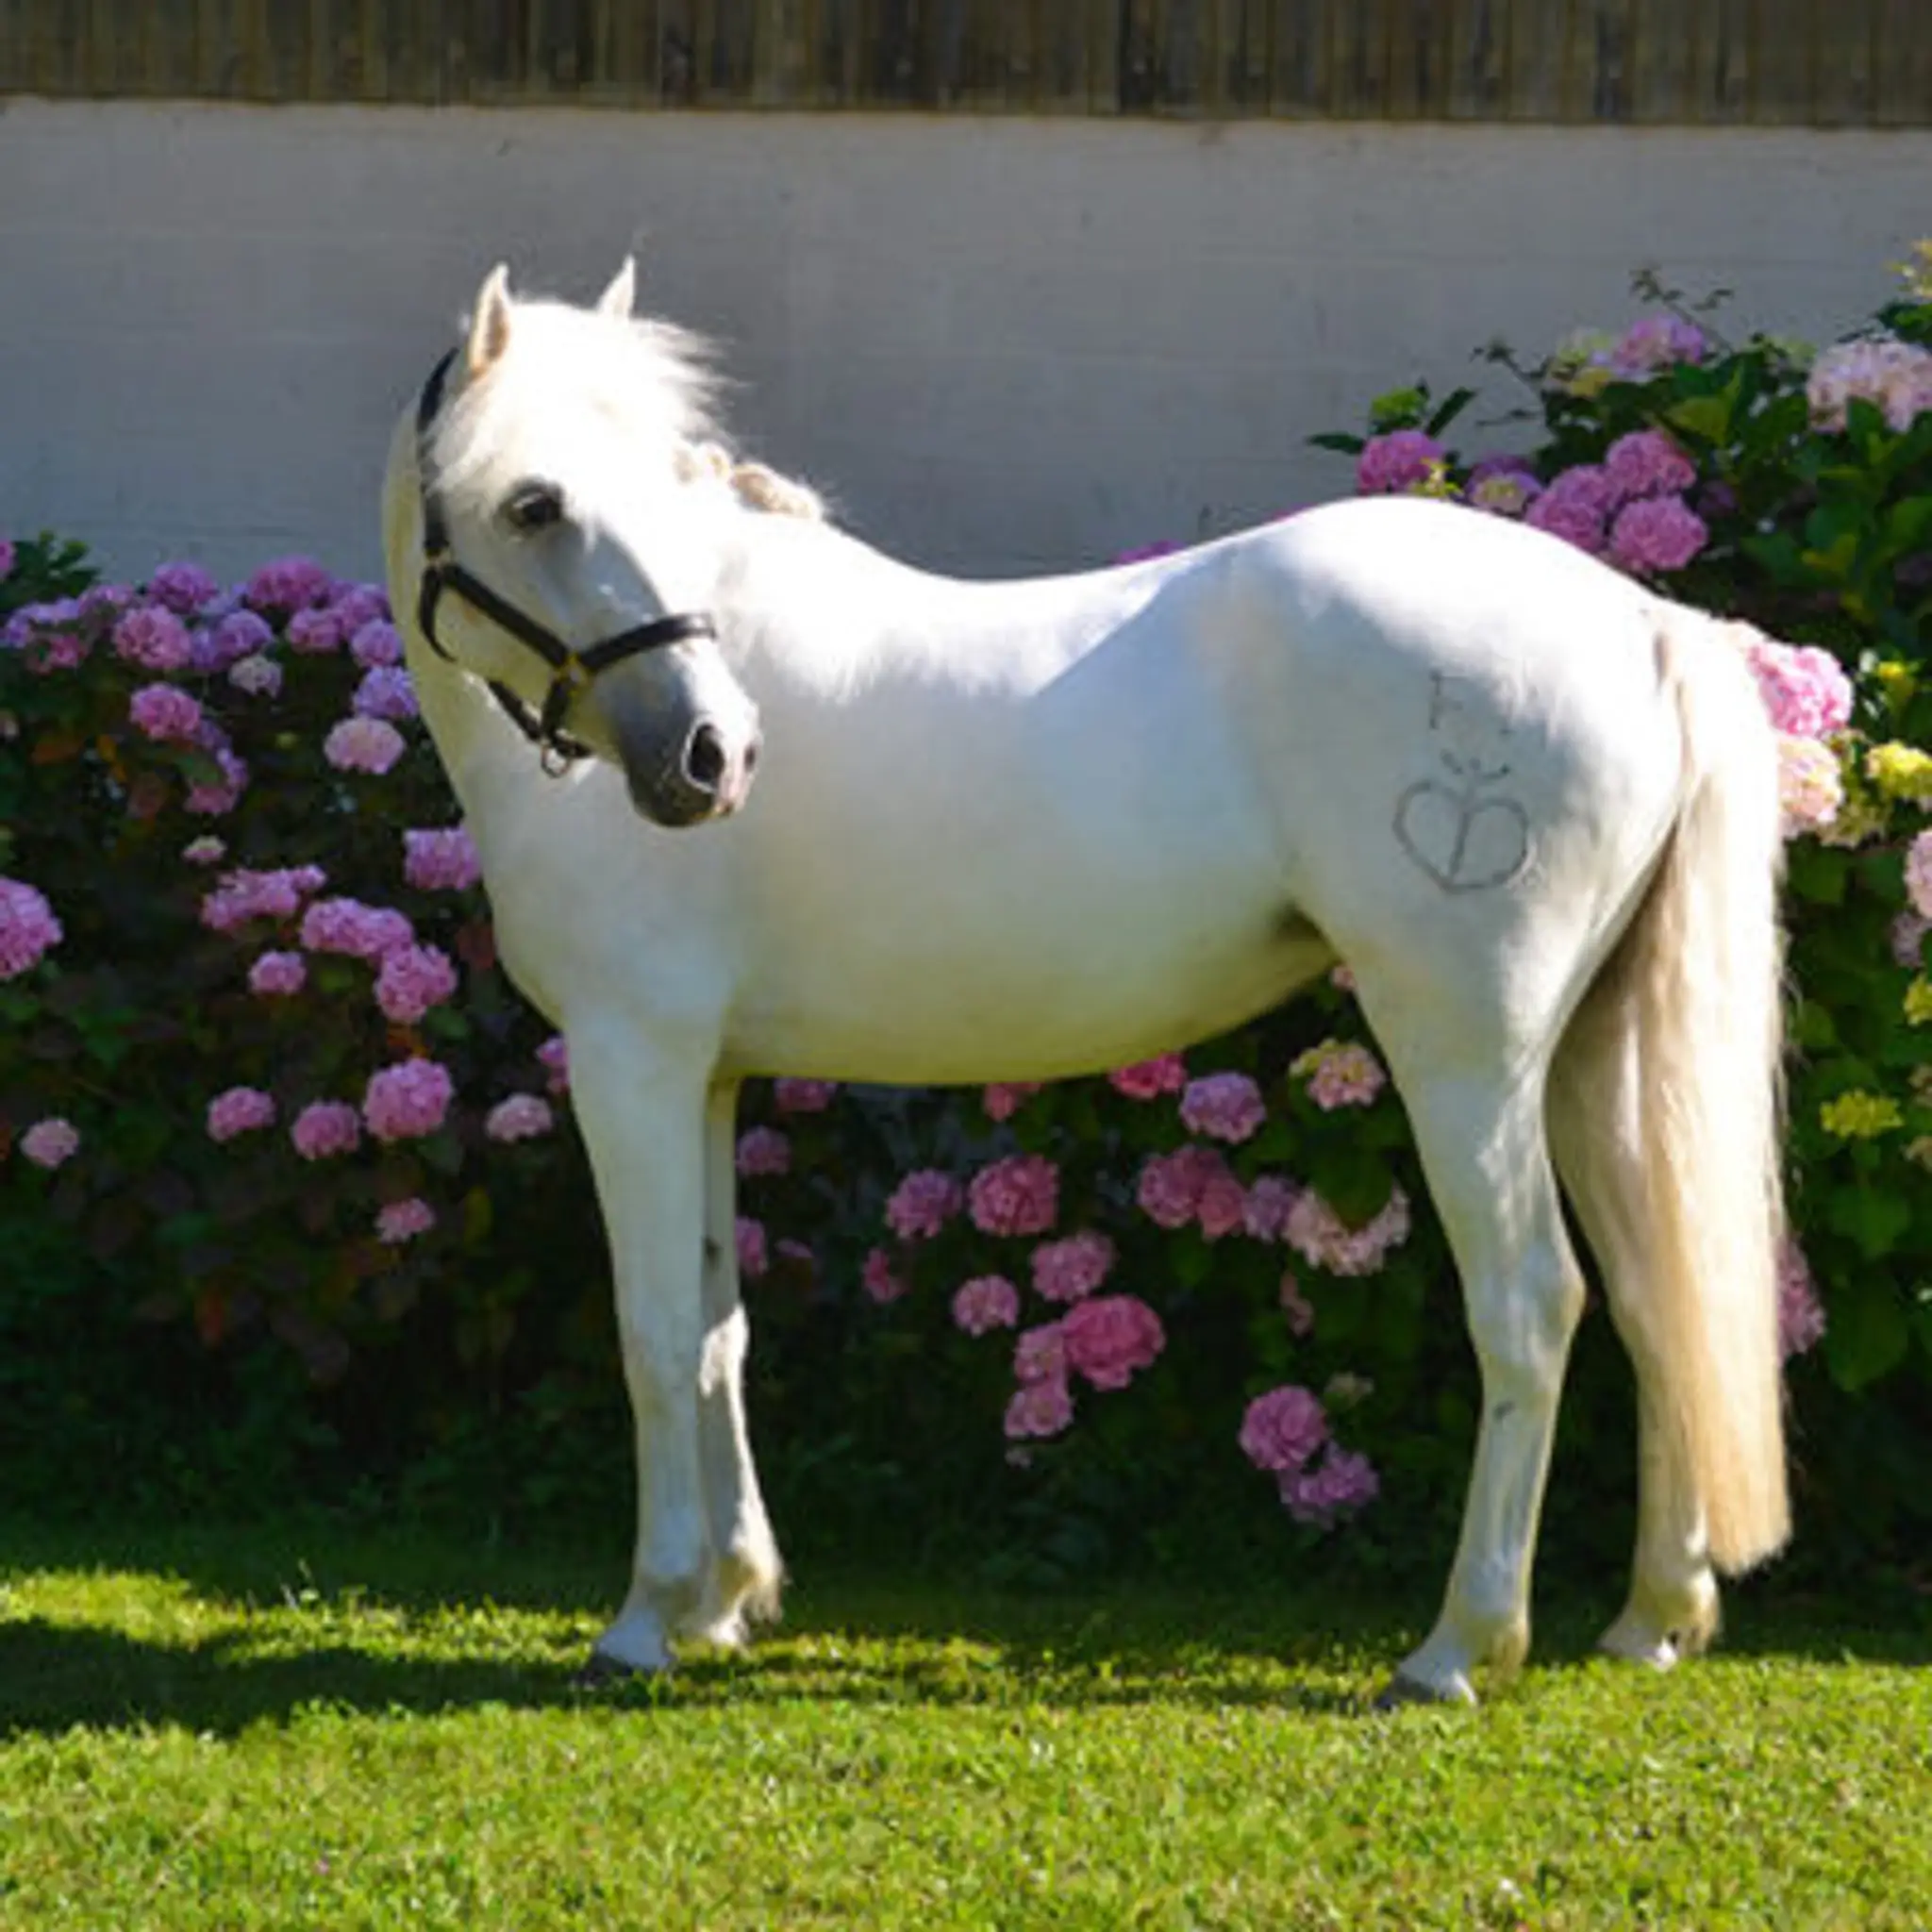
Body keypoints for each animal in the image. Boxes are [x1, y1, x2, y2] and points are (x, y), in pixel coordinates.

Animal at [380, 260, 1789, 1706]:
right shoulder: (706, 1075)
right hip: (1589, 1056)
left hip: (1466, 1054)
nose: (711, 756)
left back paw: (1457, 1645)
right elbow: (721, 1330)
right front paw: (725, 1601)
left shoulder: (634, 1064)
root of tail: (1643, 620)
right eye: (535, 504)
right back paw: (1652, 1615)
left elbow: (656, 1331)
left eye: (642, 492)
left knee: (1529, 1305)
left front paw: (646, 1618)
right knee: (1657, 1291)